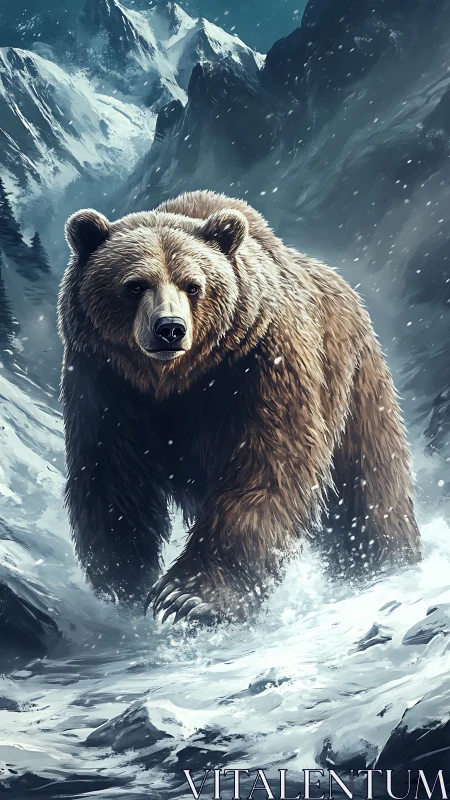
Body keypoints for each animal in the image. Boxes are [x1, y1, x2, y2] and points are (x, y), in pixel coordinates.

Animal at [58, 190, 421, 623]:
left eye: (193, 285)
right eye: (134, 285)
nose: (169, 329)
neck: (175, 380)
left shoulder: (262, 362)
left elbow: (266, 464)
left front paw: (186, 597)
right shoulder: (105, 381)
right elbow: (112, 479)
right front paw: (121, 582)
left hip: (356, 384)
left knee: (370, 486)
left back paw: (384, 562)